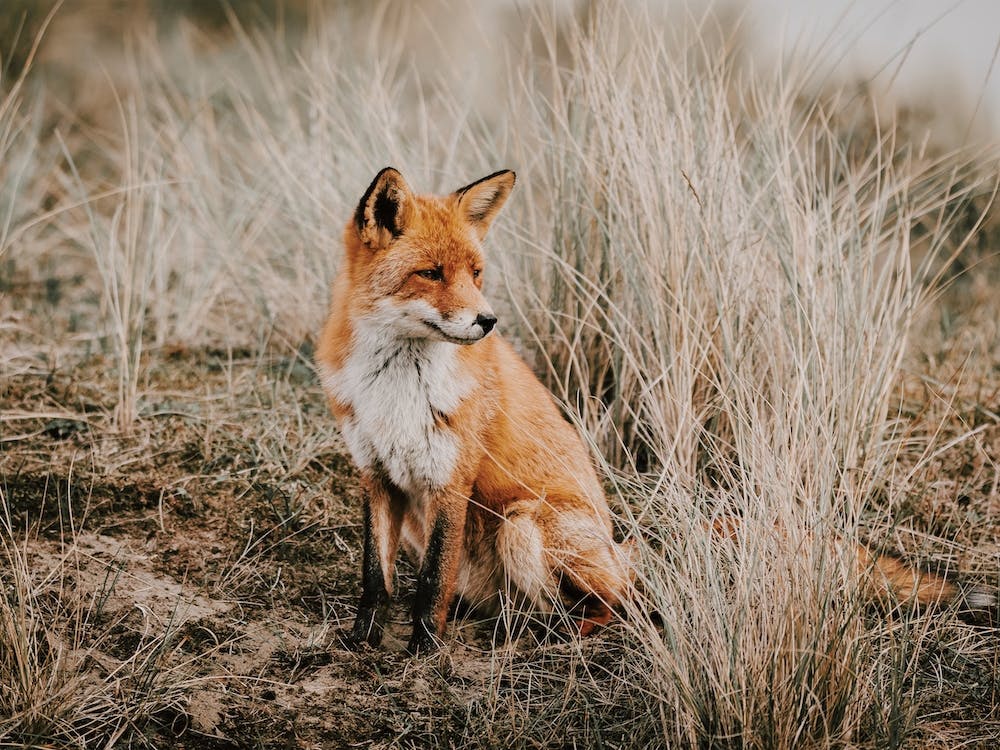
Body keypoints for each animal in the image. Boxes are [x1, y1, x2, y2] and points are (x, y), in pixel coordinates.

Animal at [317, 167, 996, 654]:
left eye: (477, 273)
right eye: (431, 273)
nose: (487, 321)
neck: (395, 386)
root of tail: (621, 547)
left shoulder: (450, 480)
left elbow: (430, 582)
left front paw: (423, 654)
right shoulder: (376, 474)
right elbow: (376, 579)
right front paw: (361, 642)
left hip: (525, 523)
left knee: (622, 607)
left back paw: (551, 641)